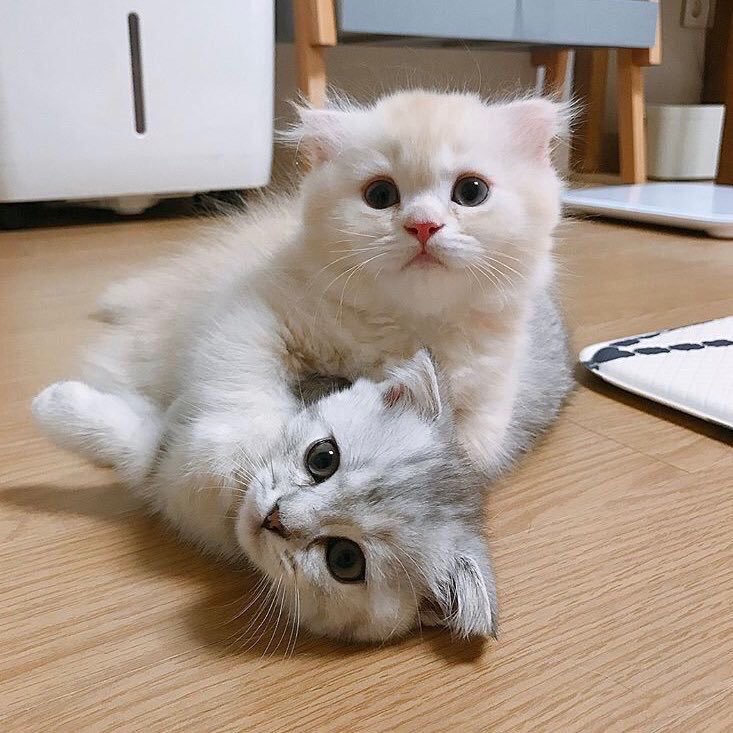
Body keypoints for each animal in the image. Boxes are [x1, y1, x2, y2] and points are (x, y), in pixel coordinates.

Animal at [33, 351, 497, 642]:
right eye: (323, 458)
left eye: (345, 559)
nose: (275, 516)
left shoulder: (164, 484)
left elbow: (139, 450)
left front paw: (54, 408)